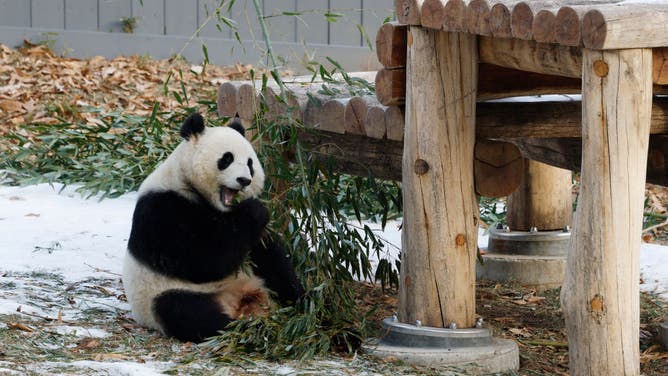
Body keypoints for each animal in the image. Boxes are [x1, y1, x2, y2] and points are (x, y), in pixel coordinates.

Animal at [121, 113, 304, 342]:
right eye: (226, 159)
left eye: (250, 163)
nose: (244, 180)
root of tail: (239, 299)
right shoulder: (162, 208)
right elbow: (202, 259)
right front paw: (255, 210)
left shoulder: (252, 240)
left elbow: (269, 252)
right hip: (163, 295)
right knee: (184, 311)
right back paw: (247, 329)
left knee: (278, 275)